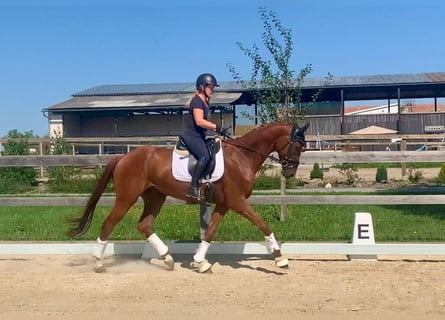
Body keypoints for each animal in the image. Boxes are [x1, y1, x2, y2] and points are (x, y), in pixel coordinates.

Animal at [67, 122, 308, 272]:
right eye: (296, 145)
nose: (289, 172)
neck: (242, 156)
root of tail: (124, 156)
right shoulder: (238, 201)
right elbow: (263, 224)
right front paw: (280, 258)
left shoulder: (225, 203)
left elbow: (209, 232)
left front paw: (200, 262)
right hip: (127, 198)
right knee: (109, 223)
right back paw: (98, 263)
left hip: (156, 197)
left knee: (144, 225)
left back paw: (167, 259)